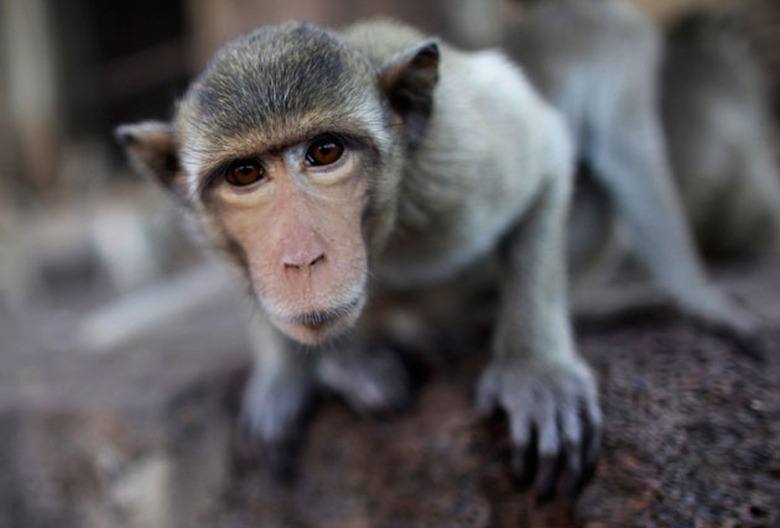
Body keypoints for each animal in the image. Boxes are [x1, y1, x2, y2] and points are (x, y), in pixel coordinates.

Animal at [116, 20, 600, 499]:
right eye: (245, 173)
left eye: (325, 152)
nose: (301, 259)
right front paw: (286, 374)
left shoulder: (459, 161)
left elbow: (548, 160)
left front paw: (536, 370)